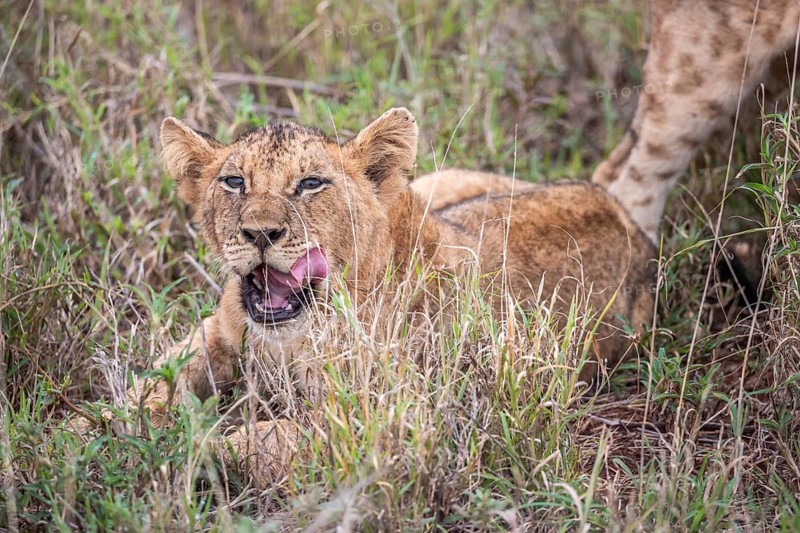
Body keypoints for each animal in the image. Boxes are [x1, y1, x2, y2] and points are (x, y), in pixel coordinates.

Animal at [129, 107, 654, 486]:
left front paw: (178, 448)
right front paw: (118, 426)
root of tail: (624, 215)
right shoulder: (218, 332)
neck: (294, 334)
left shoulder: (396, 415)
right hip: (439, 182)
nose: (260, 233)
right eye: (235, 181)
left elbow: (258, 440)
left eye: (311, 184)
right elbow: (154, 380)